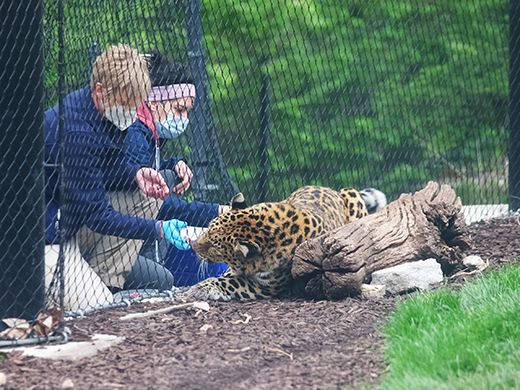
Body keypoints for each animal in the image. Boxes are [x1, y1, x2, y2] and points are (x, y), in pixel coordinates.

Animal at [189, 186, 384, 302]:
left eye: (213, 246)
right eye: (208, 228)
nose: (193, 245)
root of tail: (330, 188)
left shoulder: (268, 287)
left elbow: (232, 282)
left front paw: (200, 288)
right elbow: (228, 276)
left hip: (352, 196)